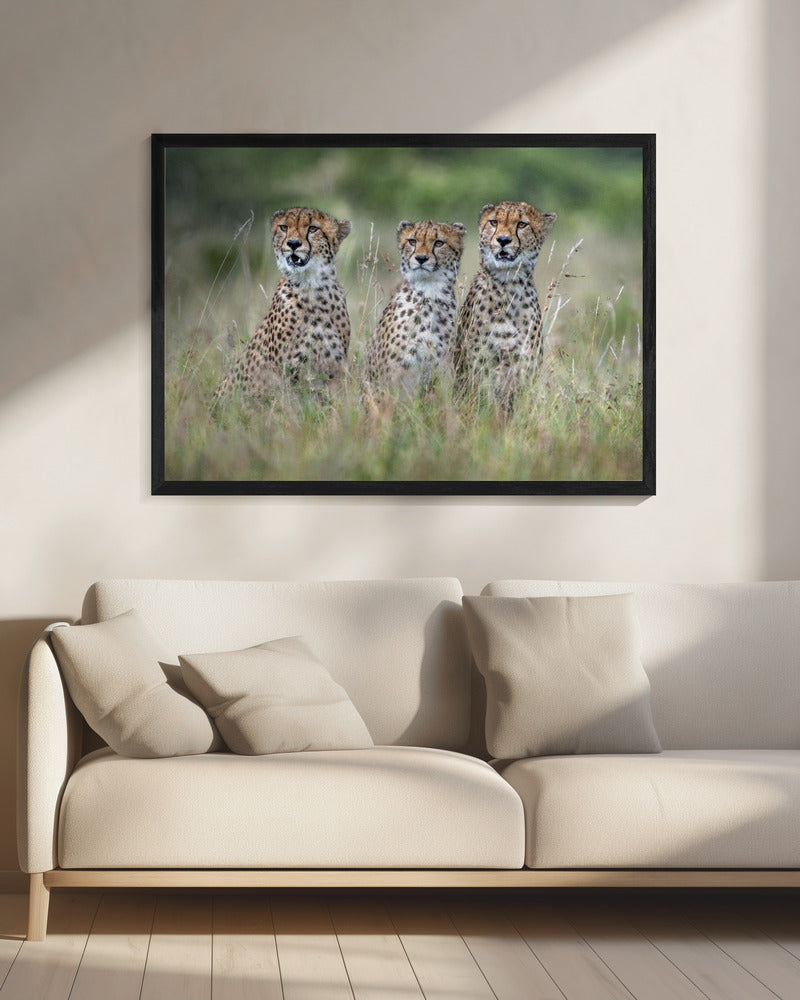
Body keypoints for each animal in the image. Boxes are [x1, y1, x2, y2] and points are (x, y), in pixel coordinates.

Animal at [214, 206, 351, 404]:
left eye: (313, 229)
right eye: (284, 227)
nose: (293, 243)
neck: (311, 287)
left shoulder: (333, 371)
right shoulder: (287, 373)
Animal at [455, 200, 556, 406]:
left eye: (522, 224)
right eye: (494, 222)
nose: (503, 240)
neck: (508, 284)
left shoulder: (525, 365)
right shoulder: (479, 365)